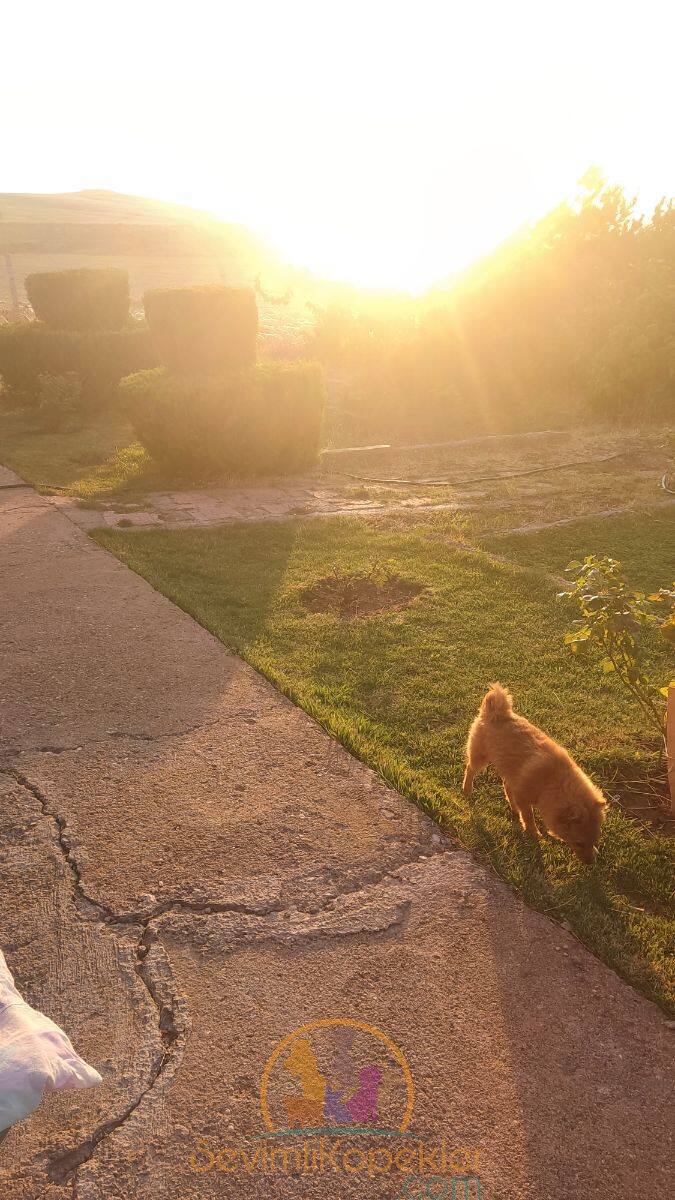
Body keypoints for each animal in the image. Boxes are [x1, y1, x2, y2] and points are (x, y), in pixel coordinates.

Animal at [461, 686, 605, 864]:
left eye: (595, 840)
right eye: (579, 843)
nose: (591, 862)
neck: (552, 782)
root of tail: (495, 712)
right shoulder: (523, 796)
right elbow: (529, 816)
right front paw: (534, 834)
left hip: (509, 769)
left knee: (506, 786)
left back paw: (513, 808)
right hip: (479, 757)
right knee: (470, 769)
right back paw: (467, 790)